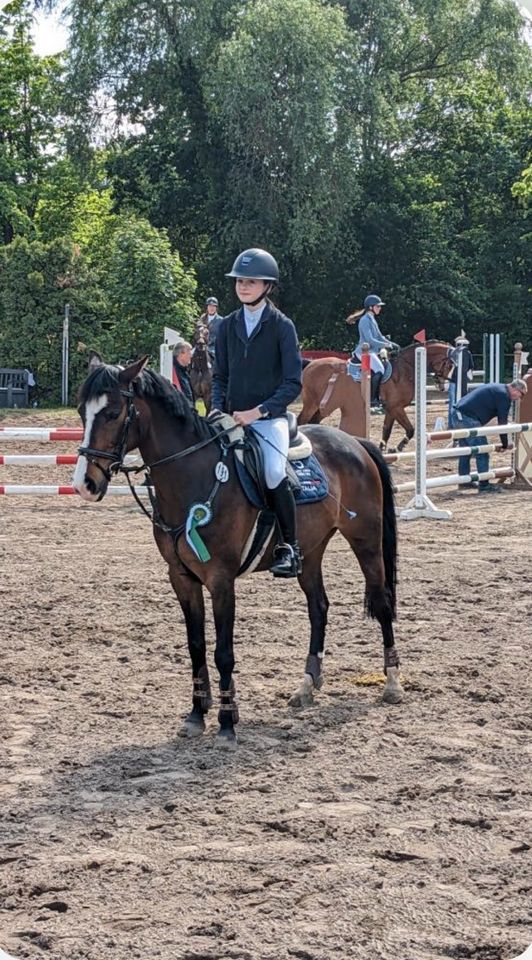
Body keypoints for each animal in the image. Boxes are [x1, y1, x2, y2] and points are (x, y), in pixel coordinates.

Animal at [74, 358, 404, 752]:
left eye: (112, 413)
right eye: (81, 412)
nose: (85, 484)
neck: (194, 477)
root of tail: (355, 442)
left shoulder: (221, 580)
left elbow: (223, 652)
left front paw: (228, 723)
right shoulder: (181, 578)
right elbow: (196, 646)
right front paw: (196, 716)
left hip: (365, 540)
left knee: (381, 602)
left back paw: (392, 683)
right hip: (310, 551)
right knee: (319, 608)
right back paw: (307, 686)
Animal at [300, 342, 454, 454]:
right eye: (449, 365)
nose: (442, 386)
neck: (406, 368)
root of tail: (311, 364)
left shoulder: (391, 408)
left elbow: (387, 430)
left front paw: (383, 449)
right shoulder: (396, 407)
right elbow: (410, 429)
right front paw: (398, 447)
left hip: (322, 407)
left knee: (314, 422)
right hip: (312, 404)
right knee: (302, 420)